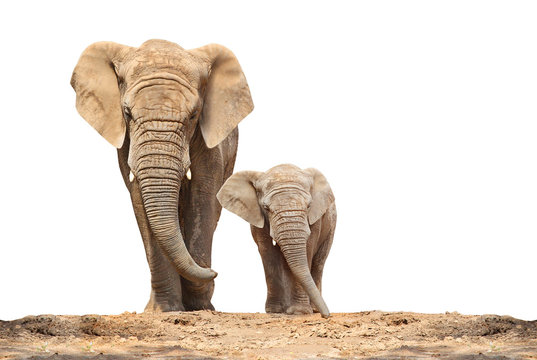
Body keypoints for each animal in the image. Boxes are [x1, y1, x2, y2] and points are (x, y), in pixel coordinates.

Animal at [70, 39, 253, 312]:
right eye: (127, 112)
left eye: (194, 115)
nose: (214, 272)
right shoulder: (127, 142)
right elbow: (139, 198)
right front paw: (164, 309)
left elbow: (203, 196)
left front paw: (200, 306)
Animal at [217, 164, 336, 318]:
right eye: (266, 208)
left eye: (309, 206)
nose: (326, 315)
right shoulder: (258, 218)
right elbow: (268, 253)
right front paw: (275, 310)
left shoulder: (315, 219)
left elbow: (308, 249)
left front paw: (299, 312)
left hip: (331, 225)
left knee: (318, 262)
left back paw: (312, 309)